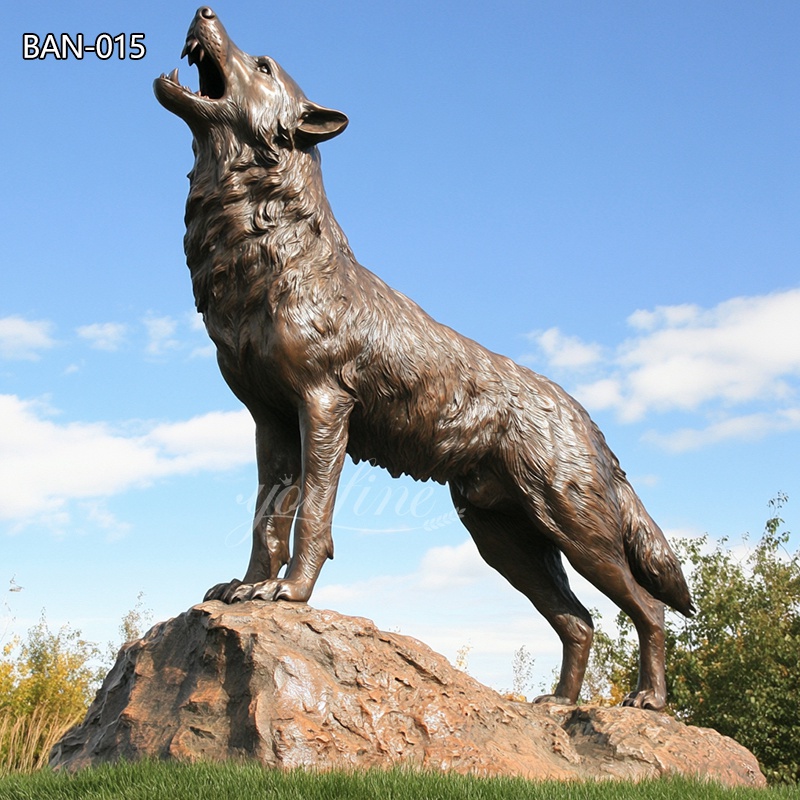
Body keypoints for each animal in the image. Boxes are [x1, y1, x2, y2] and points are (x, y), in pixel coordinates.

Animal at [153, 6, 692, 708]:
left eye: (264, 65)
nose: (205, 10)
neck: (270, 255)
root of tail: (584, 416)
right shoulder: (269, 421)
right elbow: (266, 518)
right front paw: (246, 588)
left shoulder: (323, 407)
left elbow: (312, 516)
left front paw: (289, 594)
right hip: (506, 542)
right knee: (580, 620)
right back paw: (561, 706)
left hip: (577, 530)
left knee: (647, 609)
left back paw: (647, 700)